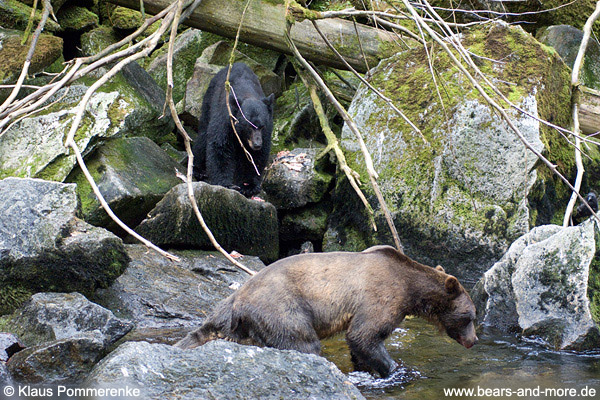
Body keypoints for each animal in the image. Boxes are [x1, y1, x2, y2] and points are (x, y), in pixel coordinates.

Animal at [175, 244, 478, 378]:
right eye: (470, 316)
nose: (474, 340)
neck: (410, 287)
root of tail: (238, 296)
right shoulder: (380, 296)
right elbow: (364, 335)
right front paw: (392, 369)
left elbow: (360, 344)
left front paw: (365, 368)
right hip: (282, 308)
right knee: (304, 343)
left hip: (235, 322)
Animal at [193, 62, 276, 197]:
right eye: (249, 126)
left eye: (261, 126)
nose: (257, 144)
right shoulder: (226, 119)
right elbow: (220, 146)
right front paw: (226, 184)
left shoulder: (268, 129)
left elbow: (257, 156)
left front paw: (249, 186)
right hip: (208, 101)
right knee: (203, 135)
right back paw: (199, 169)